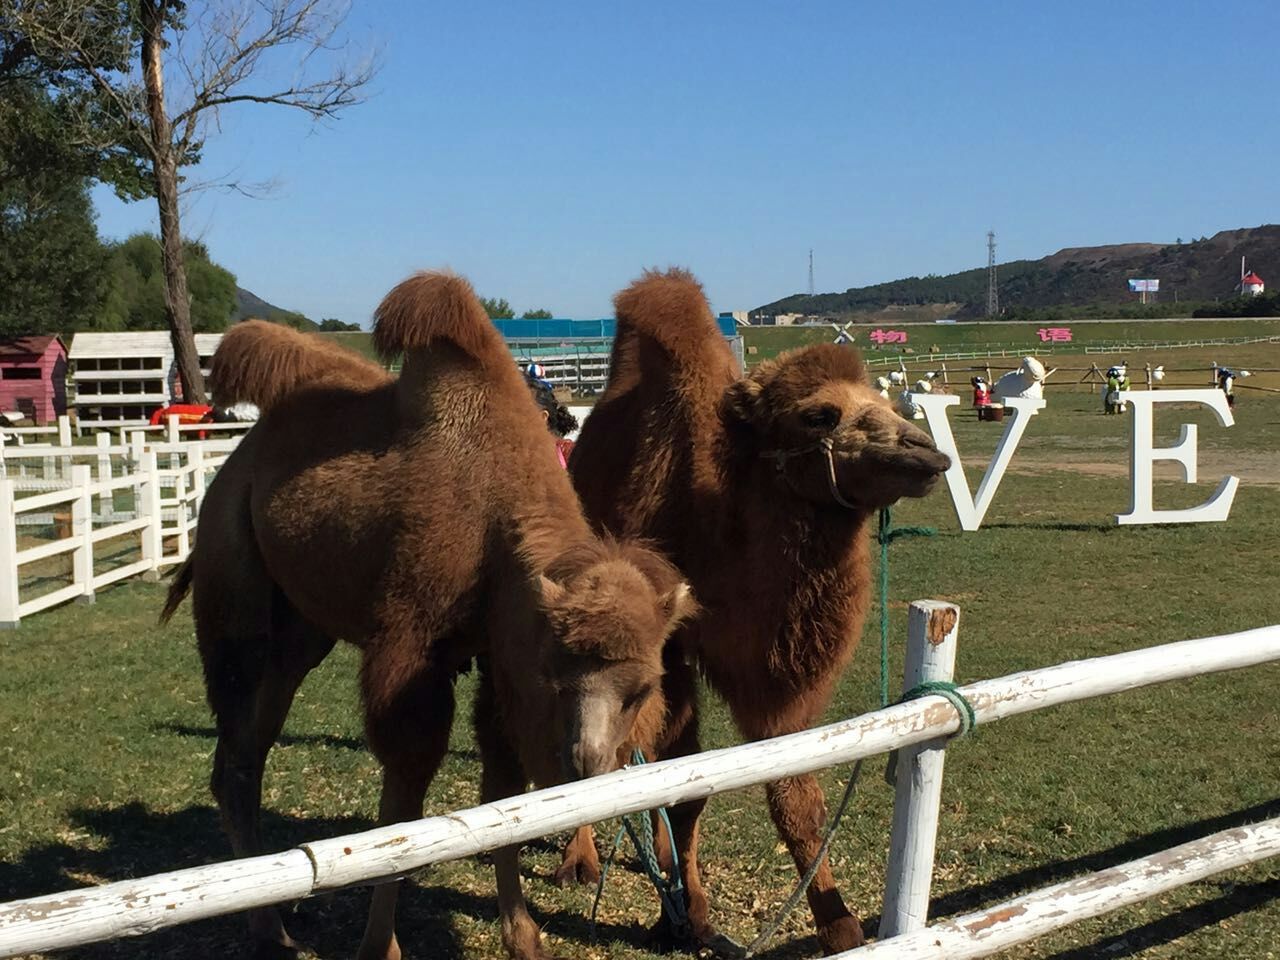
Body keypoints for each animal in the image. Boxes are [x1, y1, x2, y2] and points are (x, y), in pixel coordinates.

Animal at [167, 272, 701, 960]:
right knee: (236, 749)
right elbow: (402, 807)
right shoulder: (412, 646)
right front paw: (380, 947)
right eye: (557, 680)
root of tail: (236, 463)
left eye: (642, 689)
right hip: (236, 590)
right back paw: (271, 932)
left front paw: (523, 935)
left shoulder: (500, 652)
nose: (589, 762)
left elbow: (503, 793)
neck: (494, 521)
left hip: (299, 633)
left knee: (250, 748)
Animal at [558, 268, 952, 957]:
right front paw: (688, 915)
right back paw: (582, 862)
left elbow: (790, 789)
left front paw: (840, 926)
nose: (926, 453)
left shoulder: (769, 675)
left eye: (888, 402)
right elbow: (678, 773)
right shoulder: (669, 643)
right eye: (820, 414)